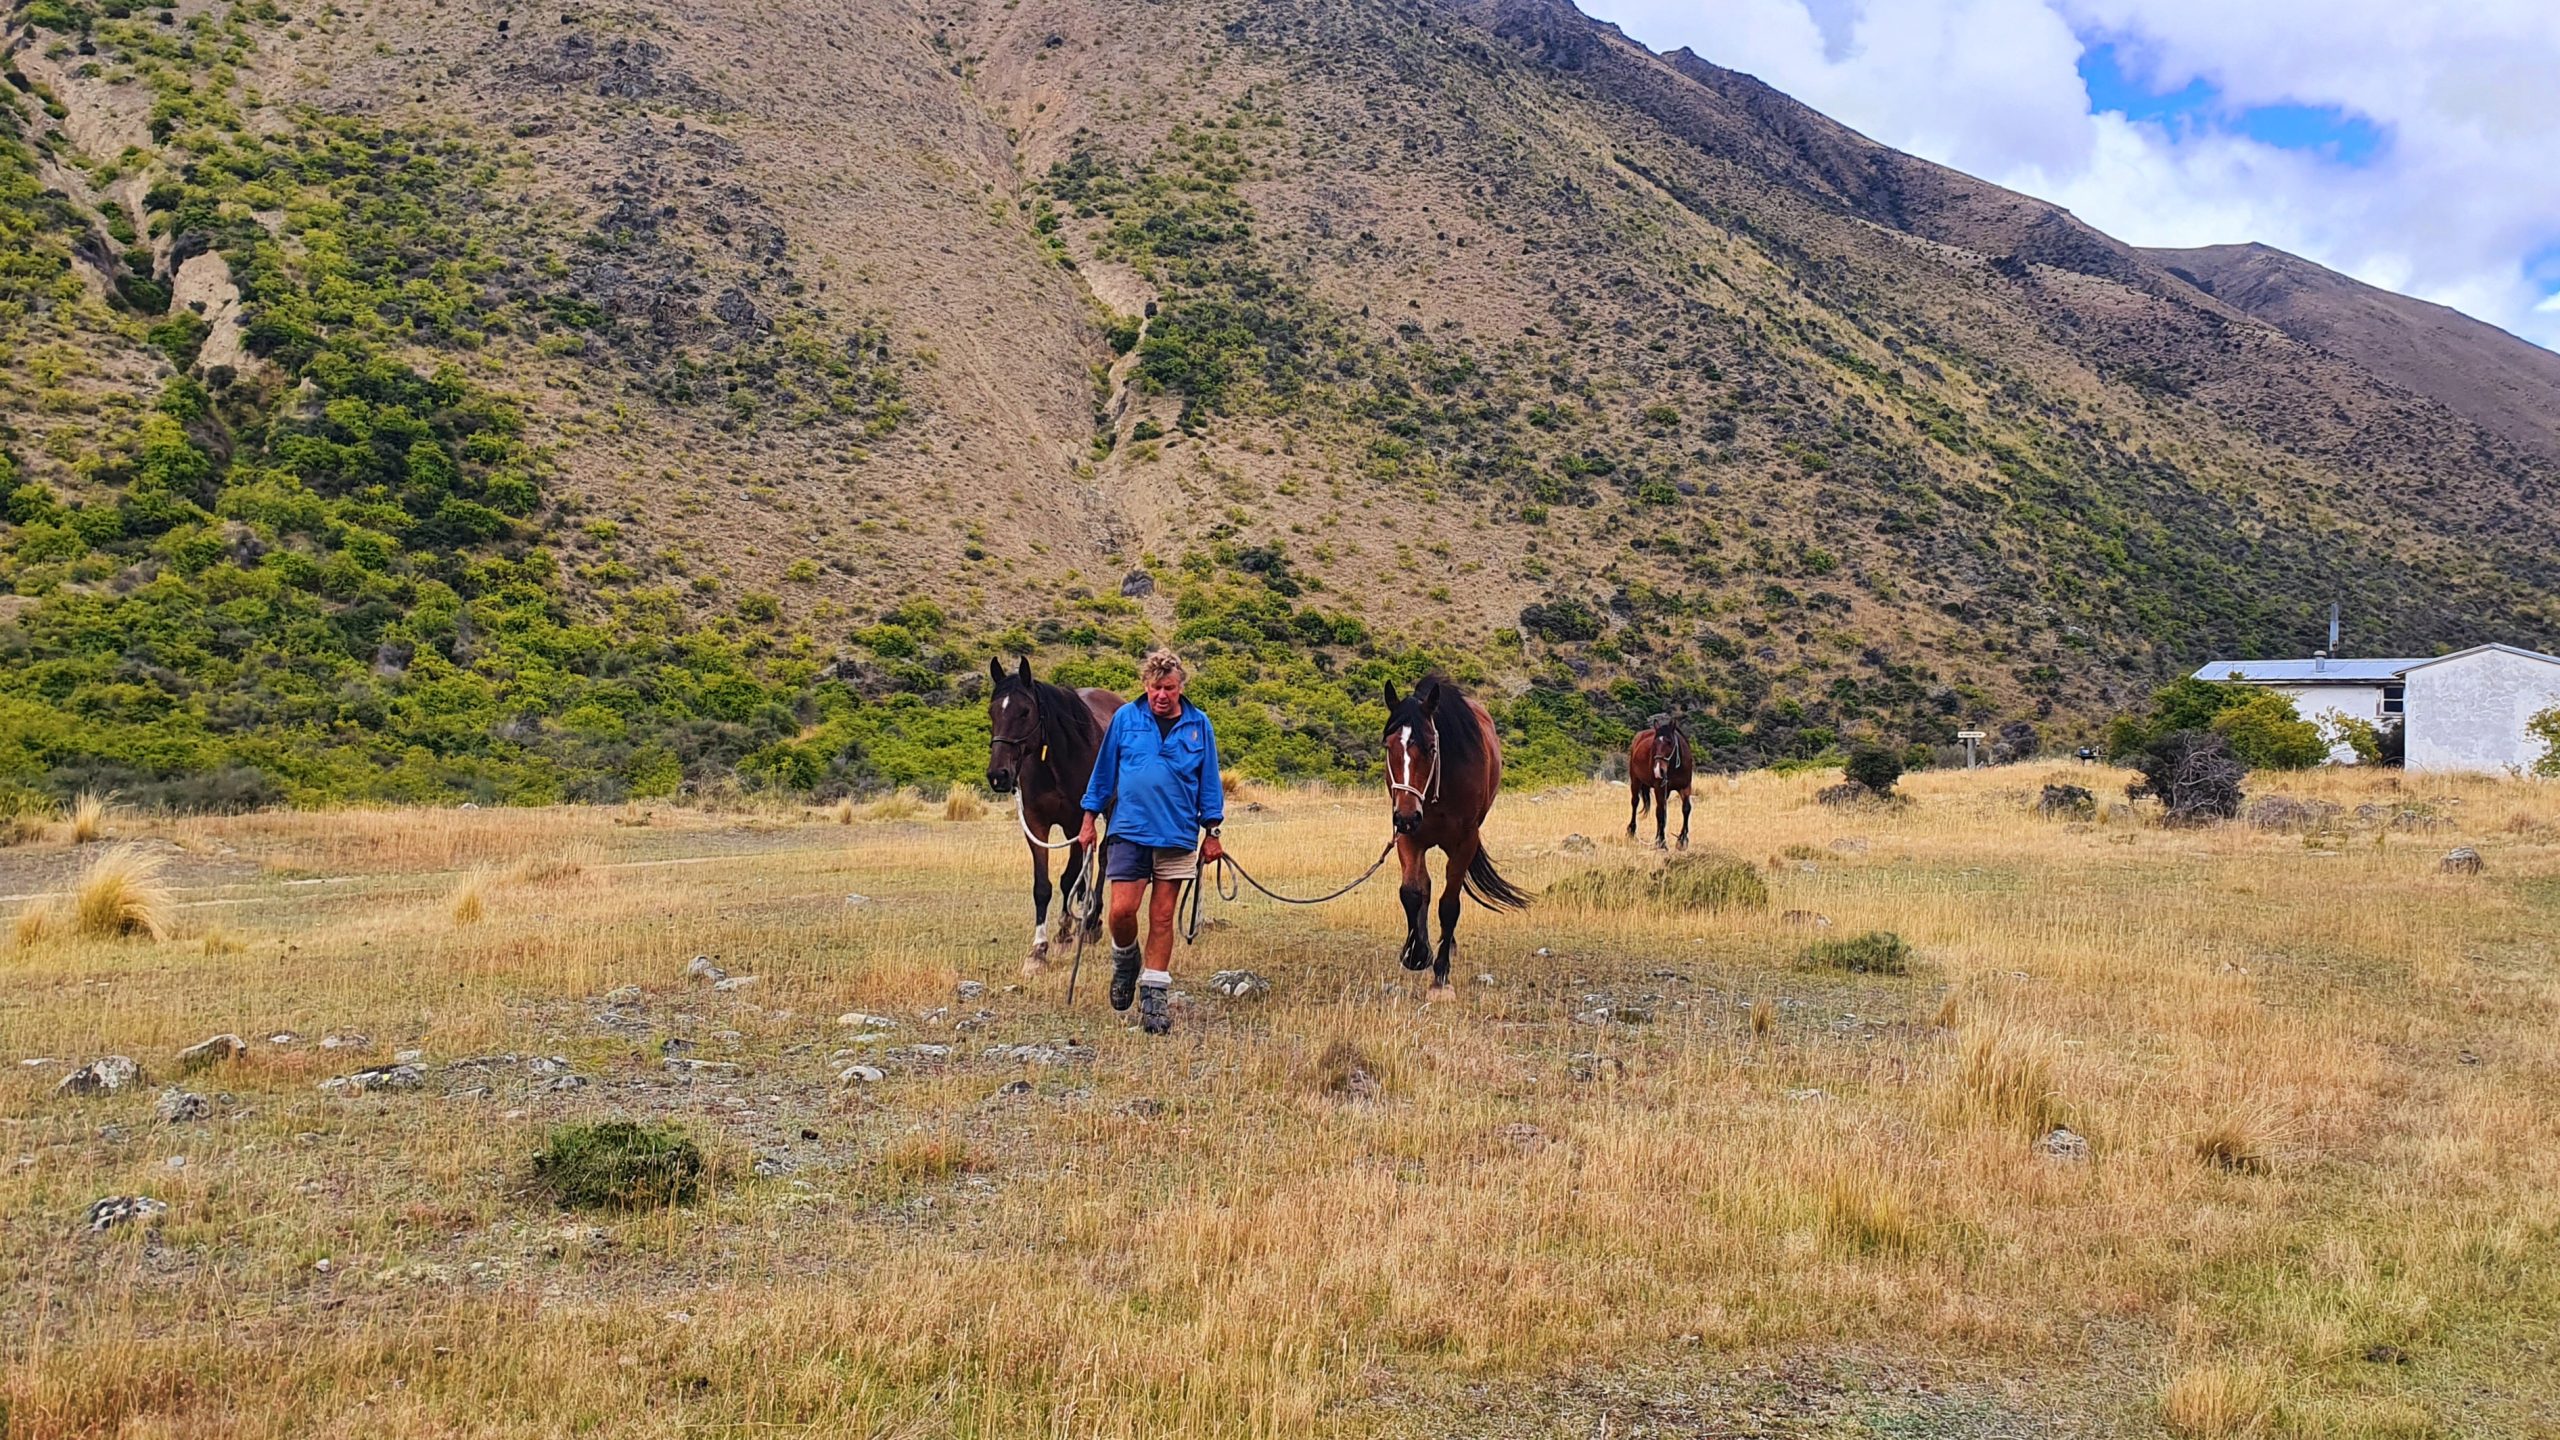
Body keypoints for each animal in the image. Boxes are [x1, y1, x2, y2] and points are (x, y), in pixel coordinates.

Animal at [984, 657, 1122, 976]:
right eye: (992, 711)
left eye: (1025, 711)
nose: (998, 775)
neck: (1055, 761)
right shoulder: (1036, 824)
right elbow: (1043, 886)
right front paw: (1038, 951)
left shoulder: (1076, 821)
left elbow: (1068, 877)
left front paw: (1063, 934)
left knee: (1104, 856)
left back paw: (1091, 922)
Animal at [1381, 675, 1532, 998]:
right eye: (1388, 746)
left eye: (1430, 747)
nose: (1406, 816)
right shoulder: (1409, 838)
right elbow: (1412, 893)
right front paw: (1416, 954)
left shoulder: (1464, 843)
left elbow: (1449, 906)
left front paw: (1440, 975)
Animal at [1627, 713, 1694, 850]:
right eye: (1654, 743)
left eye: (1669, 742)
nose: (1658, 770)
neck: (1675, 767)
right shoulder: (1659, 788)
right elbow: (1661, 813)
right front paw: (1662, 843)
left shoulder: (1685, 787)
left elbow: (1686, 809)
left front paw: (1682, 840)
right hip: (1635, 781)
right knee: (1635, 802)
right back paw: (1632, 831)